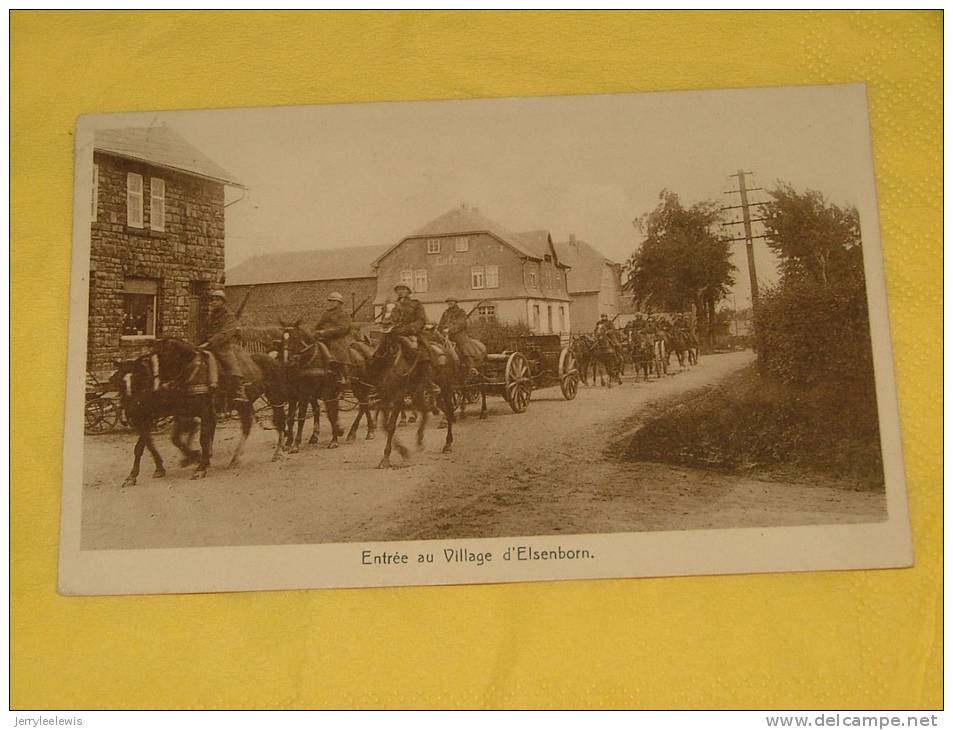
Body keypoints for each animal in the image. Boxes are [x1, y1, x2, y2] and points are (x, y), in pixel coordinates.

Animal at [109, 338, 284, 486]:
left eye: (139, 379)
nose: (130, 411)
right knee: (248, 426)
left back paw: (276, 452)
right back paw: (236, 458)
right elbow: (147, 444)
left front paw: (200, 465)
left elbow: (201, 439)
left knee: (277, 422)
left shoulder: (199, 411)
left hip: (273, 399)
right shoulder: (159, 415)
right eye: (120, 383)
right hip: (244, 405)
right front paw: (137, 475)